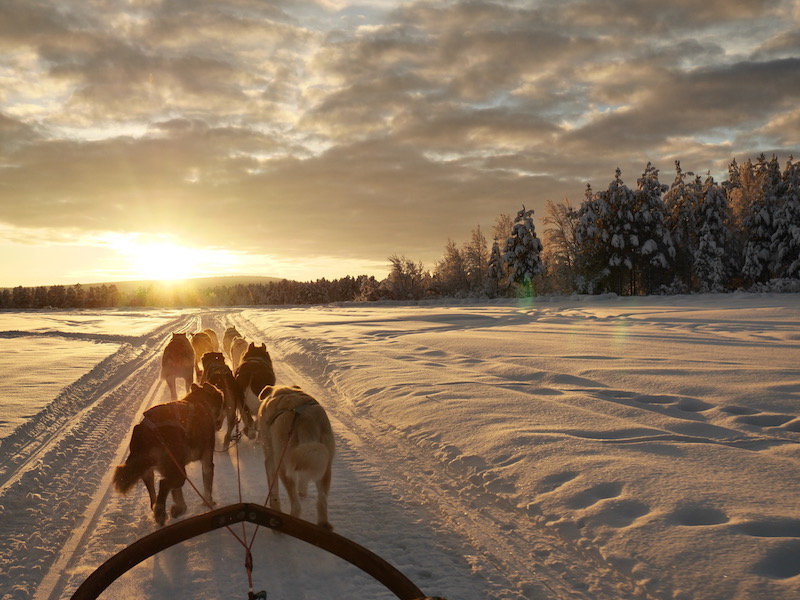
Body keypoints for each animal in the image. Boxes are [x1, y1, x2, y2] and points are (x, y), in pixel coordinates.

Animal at [111, 384, 223, 524]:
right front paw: (208, 503)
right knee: (163, 484)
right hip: (178, 473)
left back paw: (160, 510)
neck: (200, 402)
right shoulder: (206, 462)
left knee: (154, 495)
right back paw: (161, 512)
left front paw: (179, 507)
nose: (219, 423)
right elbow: (207, 488)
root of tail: (149, 433)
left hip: (149, 471)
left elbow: (177, 494)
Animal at [255, 386, 332, 528]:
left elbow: (273, 491)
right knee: (322, 502)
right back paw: (323, 524)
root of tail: (306, 421)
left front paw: (274, 506)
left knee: (296, 506)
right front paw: (302, 492)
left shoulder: (271, 460)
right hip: (324, 467)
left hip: (283, 468)